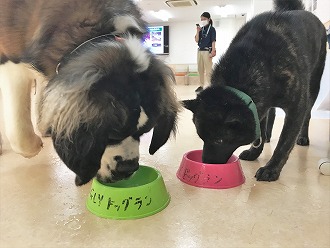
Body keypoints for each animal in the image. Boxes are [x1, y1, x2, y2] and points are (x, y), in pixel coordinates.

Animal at [0, 0, 180, 185]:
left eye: (145, 131)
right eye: (111, 135)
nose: (128, 169)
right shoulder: (11, 63)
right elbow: (20, 135)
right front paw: (35, 144)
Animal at [183, 0, 328, 182]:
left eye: (220, 140)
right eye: (202, 137)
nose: (206, 163)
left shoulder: (296, 108)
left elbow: (284, 143)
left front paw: (271, 168)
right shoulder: (259, 104)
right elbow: (261, 127)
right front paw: (255, 152)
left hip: (314, 86)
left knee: (307, 114)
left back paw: (302, 137)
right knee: (272, 113)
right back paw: (267, 136)